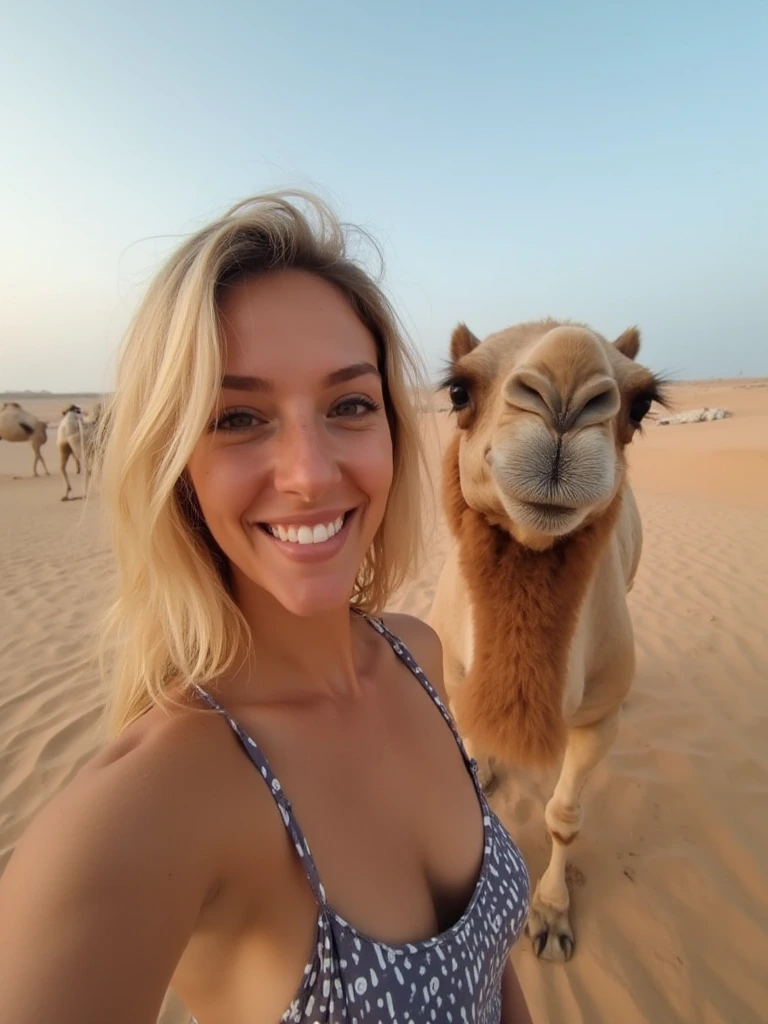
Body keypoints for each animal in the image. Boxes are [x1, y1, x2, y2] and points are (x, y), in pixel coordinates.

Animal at [430, 317, 671, 958]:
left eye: (641, 404)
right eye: (458, 392)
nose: (565, 384)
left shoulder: (598, 717)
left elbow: (564, 819)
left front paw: (551, 916)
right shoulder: (452, 676)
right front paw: (485, 769)